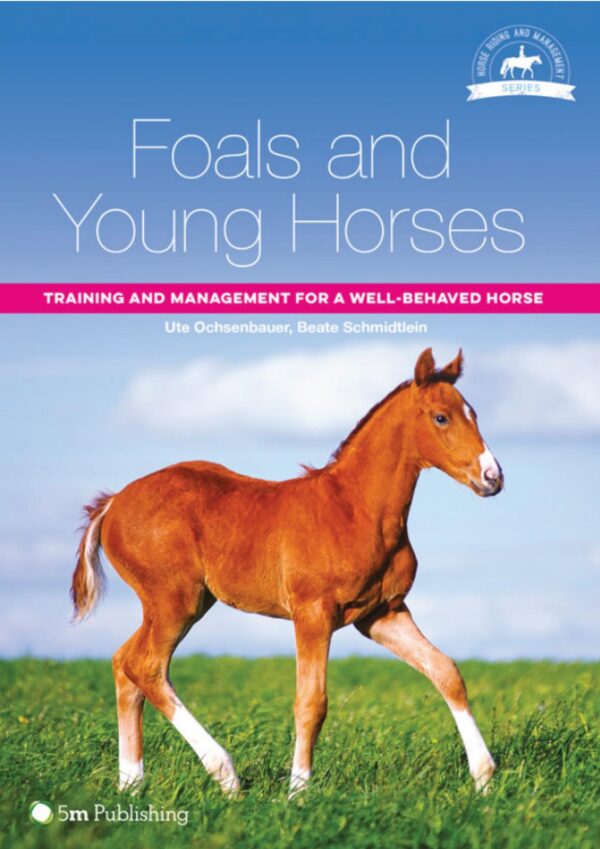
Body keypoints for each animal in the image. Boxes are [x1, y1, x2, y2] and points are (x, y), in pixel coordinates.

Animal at [71, 348, 503, 798]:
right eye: (441, 417)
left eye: (473, 413)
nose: (493, 477)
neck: (356, 509)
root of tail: (113, 502)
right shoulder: (313, 614)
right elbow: (312, 702)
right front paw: (298, 791)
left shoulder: (382, 614)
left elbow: (446, 672)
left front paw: (484, 777)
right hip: (175, 600)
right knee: (146, 667)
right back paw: (225, 774)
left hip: (177, 603)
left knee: (124, 664)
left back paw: (131, 783)